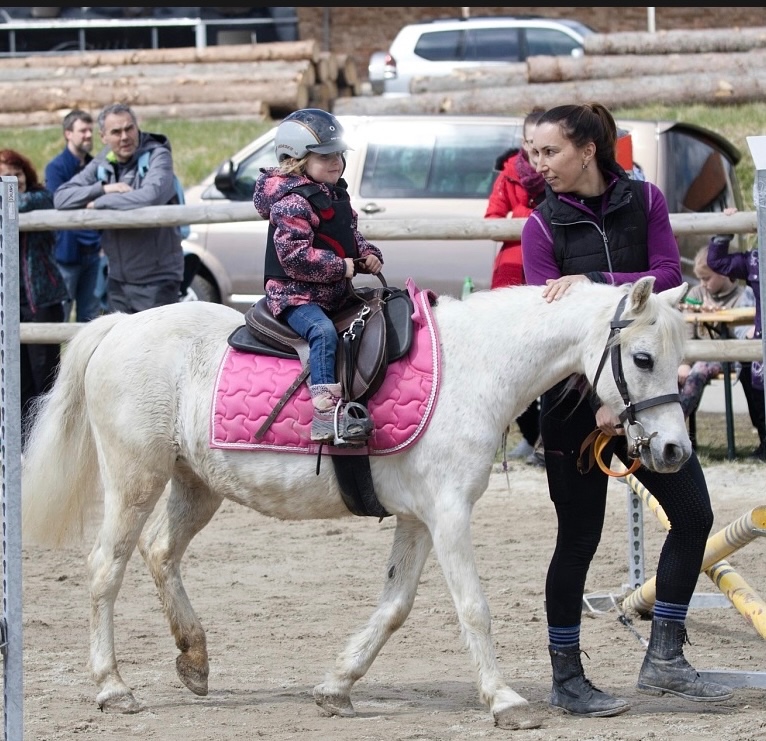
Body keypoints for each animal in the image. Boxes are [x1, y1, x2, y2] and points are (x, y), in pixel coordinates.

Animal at [22, 276, 696, 728]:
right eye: (642, 358)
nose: (672, 450)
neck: (476, 368)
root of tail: (119, 324)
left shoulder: (418, 520)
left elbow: (394, 607)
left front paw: (337, 687)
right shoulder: (449, 515)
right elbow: (472, 607)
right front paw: (505, 701)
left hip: (196, 485)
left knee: (161, 552)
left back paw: (196, 659)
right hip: (135, 479)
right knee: (106, 569)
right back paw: (112, 687)